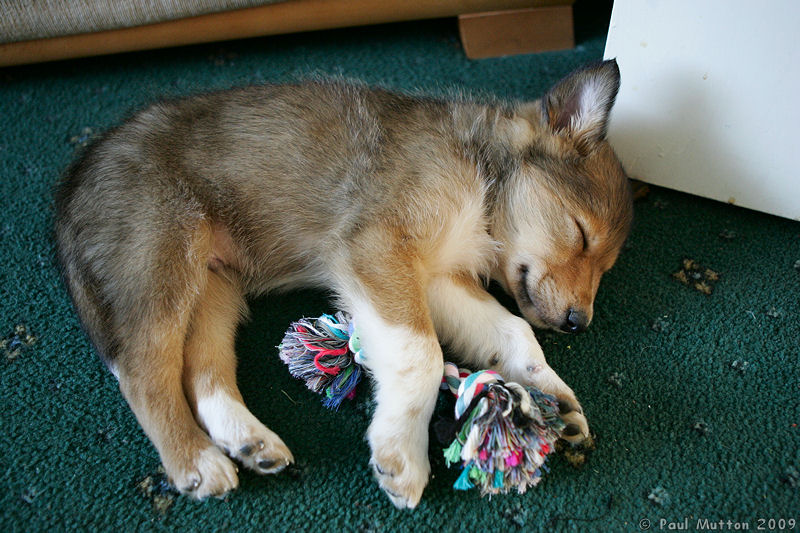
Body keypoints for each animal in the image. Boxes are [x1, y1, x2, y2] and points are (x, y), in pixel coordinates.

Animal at [54, 58, 632, 508]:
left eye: (605, 266)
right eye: (580, 233)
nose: (579, 324)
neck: (480, 178)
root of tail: (75, 177)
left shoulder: (437, 278)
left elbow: (514, 332)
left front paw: (553, 400)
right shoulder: (378, 249)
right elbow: (421, 353)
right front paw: (401, 455)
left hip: (216, 286)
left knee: (202, 371)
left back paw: (250, 442)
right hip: (162, 264)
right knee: (143, 374)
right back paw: (194, 462)